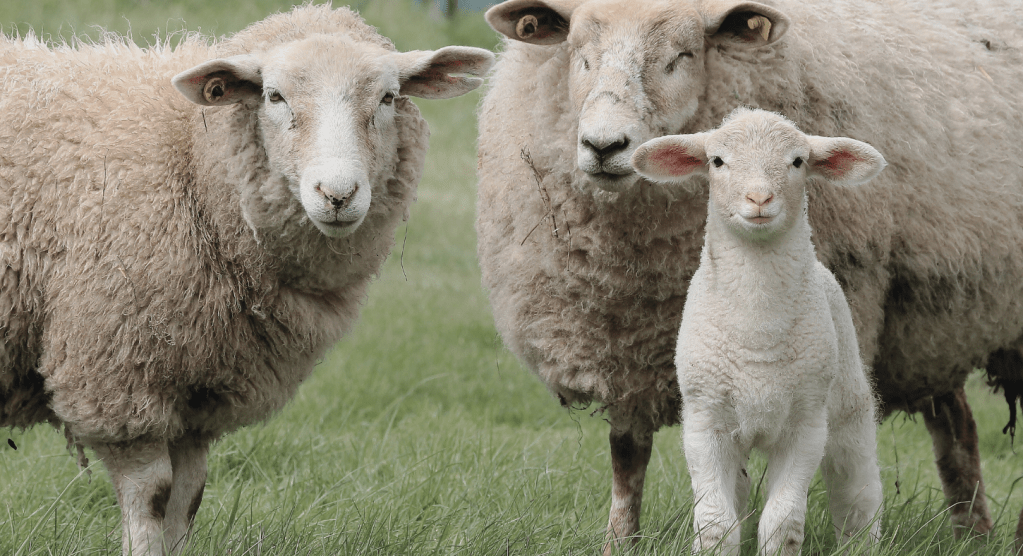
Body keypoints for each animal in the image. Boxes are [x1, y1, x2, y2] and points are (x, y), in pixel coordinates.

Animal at [0, 4, 494, 555]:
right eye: (274, 96)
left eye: (388, 97)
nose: (338, 194)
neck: (190, 158)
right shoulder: (115, 374)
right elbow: (151, 496)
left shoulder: (199, 395)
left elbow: (187, 498)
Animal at [631, 108, 885, 555]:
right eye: (717, 161)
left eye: (798, 161)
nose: (760, 199)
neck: (757, 334)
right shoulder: (705, 423)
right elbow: (716, 525)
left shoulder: (806, 426)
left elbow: (782, 524)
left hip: (847, 404)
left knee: (857, 489)